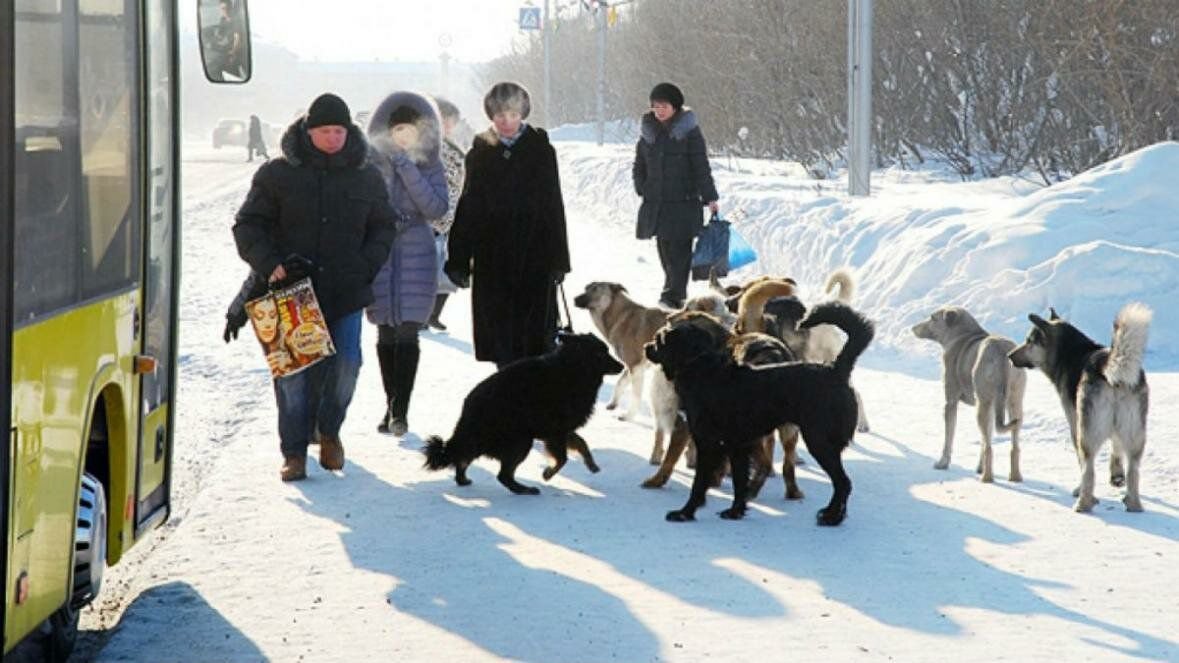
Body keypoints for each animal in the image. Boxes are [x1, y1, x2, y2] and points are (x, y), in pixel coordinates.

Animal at [424, 332, 627, 493]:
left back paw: (463, 480)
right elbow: (562, 458)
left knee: (463, 458)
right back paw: (524, 490)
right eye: (600, 353)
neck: (571, 368)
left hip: (486, 441)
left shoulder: (561, 430)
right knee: (503, 475)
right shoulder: (555, 432)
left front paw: (591, 464)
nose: (622, 366)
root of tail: (468, 412)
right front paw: (548, 473)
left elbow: (581, 443)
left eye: (606, 350)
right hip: (521, 441)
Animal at [650, 302, 872, 523]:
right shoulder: (737, 446)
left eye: (659, 339)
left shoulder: (708, 443)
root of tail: (836, 370)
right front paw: (735, 511)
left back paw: (831, 517)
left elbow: (699, 484)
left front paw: (685, 513)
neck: (702, 368)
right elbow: (739, 482)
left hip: (819, 441)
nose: (646, 348)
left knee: (843, 482)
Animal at [910, 304, 1023, 478]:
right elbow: (985, 438)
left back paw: (986, 477)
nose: (913, 328)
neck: (961, 335)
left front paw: (942, 463)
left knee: (989, 447)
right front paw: (979, 466)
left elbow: (949, 437)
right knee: (1012, 444)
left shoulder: (950, 402)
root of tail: (1002, 353)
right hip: (1014, 401)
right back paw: (1014, 476)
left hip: (983, 403)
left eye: (933, 318)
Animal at [1009, 304, 1155, 511]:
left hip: (1088, 432)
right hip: (1134, 431)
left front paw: (1080, 489)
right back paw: (1133, 504)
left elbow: (1082, 463)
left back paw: (1084, 502)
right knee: (1133, 469)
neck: (1067, 352)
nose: (1009, 356)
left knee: (1089, 468)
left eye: (1029, 341)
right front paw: (1116, 476)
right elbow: (1116, 446)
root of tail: (1110, 368)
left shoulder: (1074, 424)